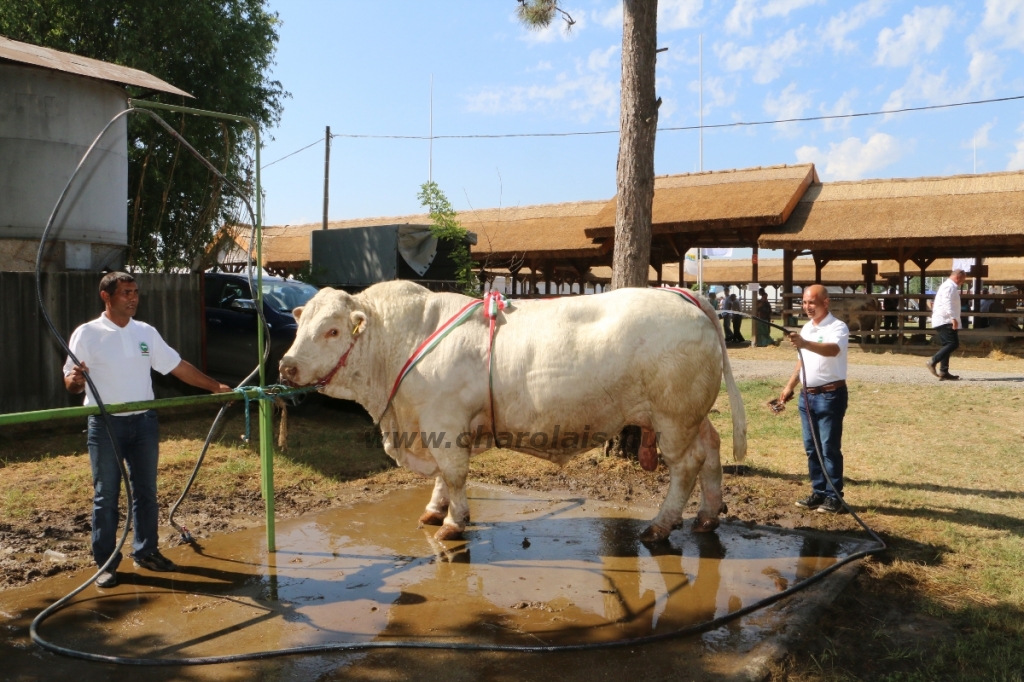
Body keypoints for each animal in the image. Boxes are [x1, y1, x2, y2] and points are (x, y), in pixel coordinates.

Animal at [280, 280, 745, 540]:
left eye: (332, 330)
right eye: (300, 326)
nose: (286, 366)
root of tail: (684, 296)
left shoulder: (445, 422)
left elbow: (454, 474)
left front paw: (454, 523)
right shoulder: (435, 426)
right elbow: (443, 478)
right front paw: (435, 510)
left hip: (673, 418)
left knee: (686, 466)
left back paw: (661, 526)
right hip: (690, 415)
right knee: (712, 450)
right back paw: (707, 516)